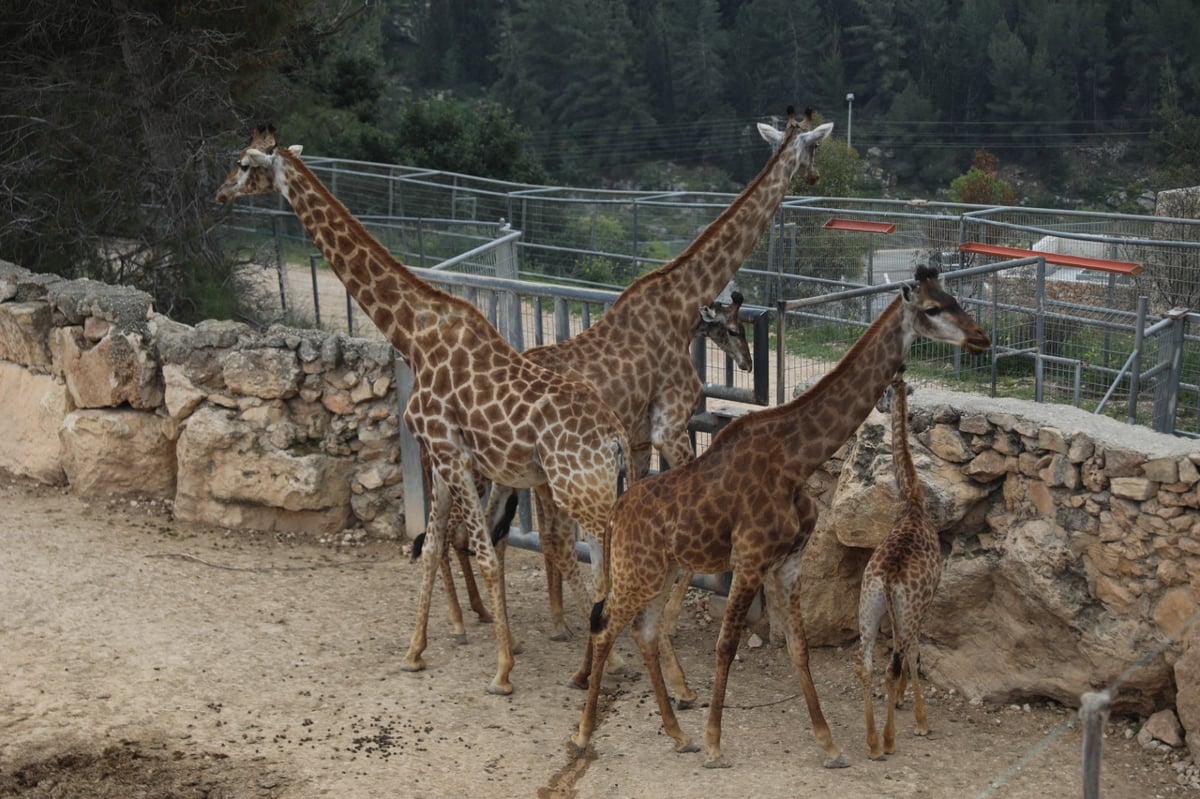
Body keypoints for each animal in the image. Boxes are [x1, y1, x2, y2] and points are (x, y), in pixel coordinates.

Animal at [216, 124, 628, 691]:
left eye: (241, 163)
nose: (218, 194)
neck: (412, 333)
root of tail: (617, 441)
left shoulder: (446, 449)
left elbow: (481, 553)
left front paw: (502, 671)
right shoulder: (447, 458)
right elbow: (431, 547)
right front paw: (415, 652)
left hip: (580, 493)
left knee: (602, 568)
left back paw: (611, 672)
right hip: (589, 491)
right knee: (599, 568)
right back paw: (598, 671)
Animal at [566, 266, 988, 767]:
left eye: (957, 299)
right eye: (932, 308)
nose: (981, 337)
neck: (795, 460)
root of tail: (617, 513)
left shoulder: (788, 561)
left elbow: (798, 648)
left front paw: (829, 744)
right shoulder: (749, 559)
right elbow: (726, 645)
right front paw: (715, 742)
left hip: (658, 569)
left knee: (642, 631)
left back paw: (677, 734)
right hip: (639, 569)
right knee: (606, 625)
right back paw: (584, 735)